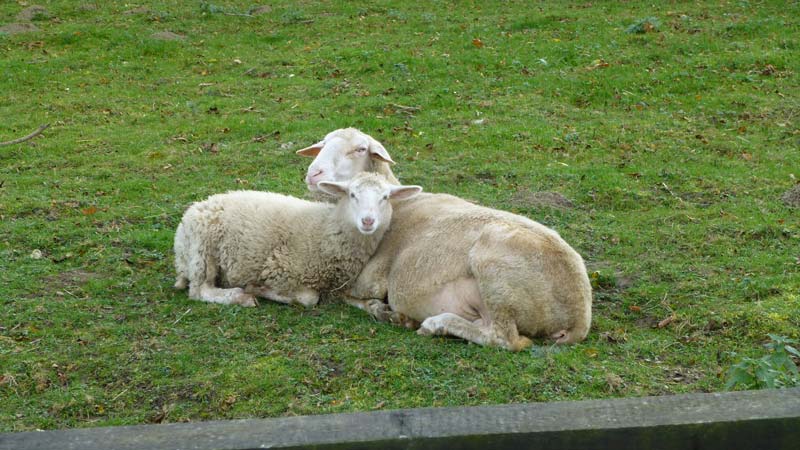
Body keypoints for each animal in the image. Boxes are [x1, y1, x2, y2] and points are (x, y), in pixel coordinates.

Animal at [173, 171, 424, 306]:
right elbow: (308, 299)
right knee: (200, 291)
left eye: (385, 197)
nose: (368, 221)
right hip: (202, 250)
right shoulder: (280, 268)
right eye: (352, 194)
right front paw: (257, 289)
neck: (326, 227)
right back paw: (238, 296)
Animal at [296, 129, 592, 352]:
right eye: (322, 144)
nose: (313, 174)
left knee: (507, 339)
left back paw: (436, 324)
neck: (398, 206)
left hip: (495, 272)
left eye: (359, 149)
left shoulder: (369, 280)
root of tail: (580, 315)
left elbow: (347, 296)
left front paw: (387, 313)